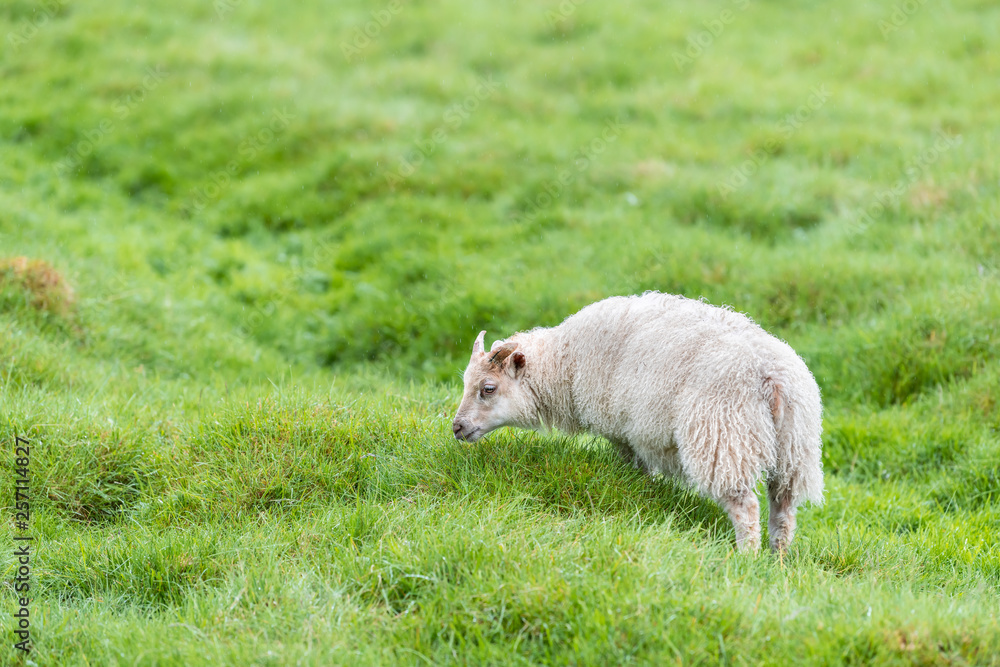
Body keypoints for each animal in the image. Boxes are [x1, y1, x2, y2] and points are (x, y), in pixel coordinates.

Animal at [451, 291, 824, 553]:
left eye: (488, 388)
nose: (456, 427)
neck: (564, 364)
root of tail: (771, 378)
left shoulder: (623, 431)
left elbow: (634, 468)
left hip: (722, 440)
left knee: (746, 507)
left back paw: (746, 557)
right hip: (794, 452)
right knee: (783, 510)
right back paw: (777, 560)